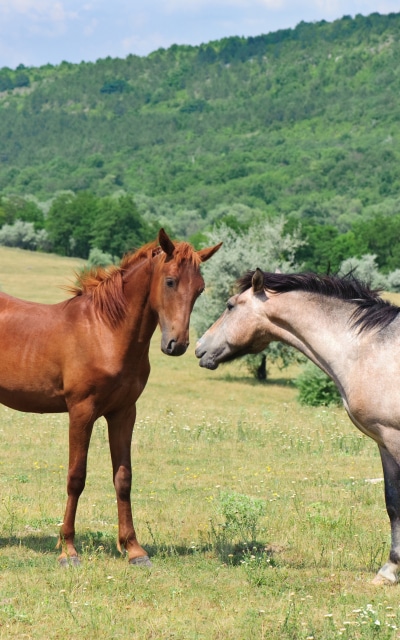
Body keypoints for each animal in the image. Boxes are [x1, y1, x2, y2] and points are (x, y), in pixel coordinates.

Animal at [0, 228, 221, 567]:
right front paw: (68, 549)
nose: (177, 344)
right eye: (170, 281)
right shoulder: (81, 412)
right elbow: (76, 477)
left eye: (200, 288)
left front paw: (133, 549)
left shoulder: (123, 413)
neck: (104, 331)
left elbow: (123, 478)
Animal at [196, 268, 400, 585]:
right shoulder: (384, 443)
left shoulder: (395, 438)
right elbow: (392, 503)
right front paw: (389, 570)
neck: (369, 349)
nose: (199, 348)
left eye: (230, 305)